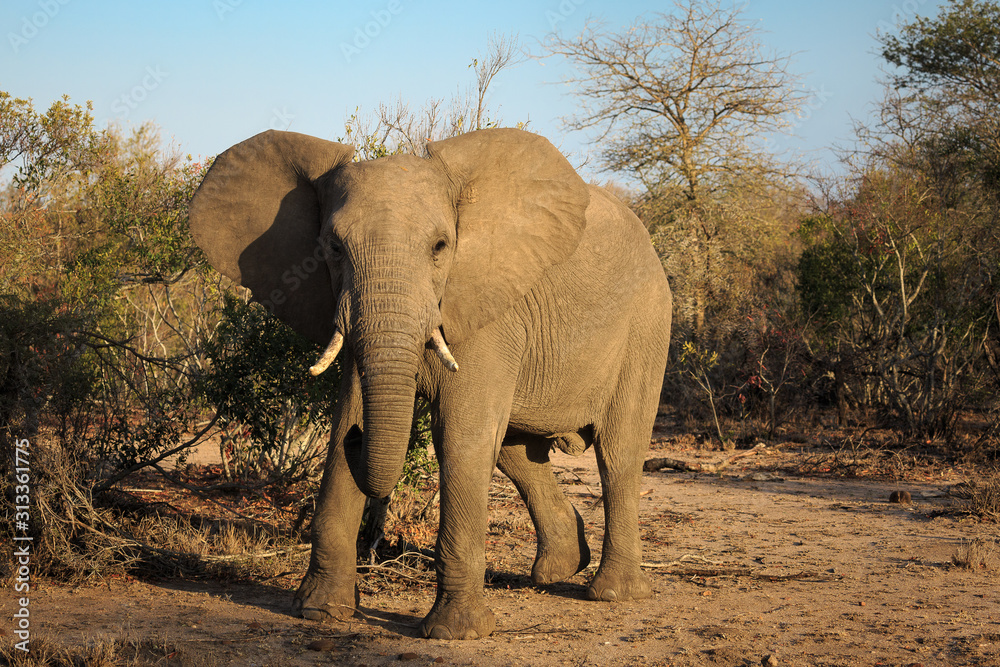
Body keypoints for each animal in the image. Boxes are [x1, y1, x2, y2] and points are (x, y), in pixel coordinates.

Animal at [188, 127, 672, 640]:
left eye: (441, 246)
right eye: (332, 247)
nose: (361, 439)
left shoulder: (487, 308)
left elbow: (458, 435)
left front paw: (456, 633)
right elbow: (345, 421)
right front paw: (319, 611)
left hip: (646, 324)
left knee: (617, 452)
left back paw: (613, 593)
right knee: (516, 452)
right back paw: (559, 569)